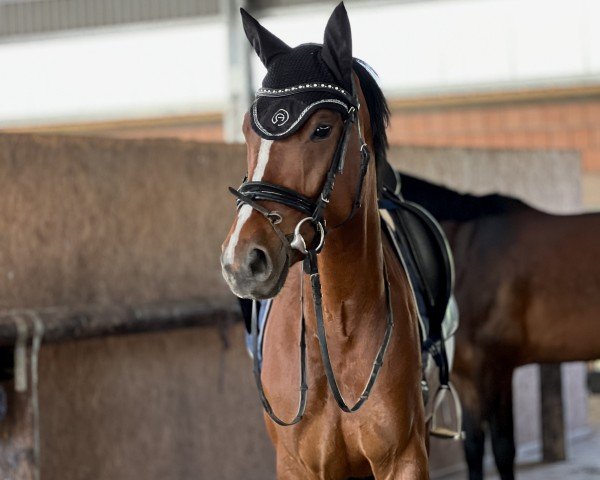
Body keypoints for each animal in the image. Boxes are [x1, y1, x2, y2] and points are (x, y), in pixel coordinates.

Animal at [223, 4, 428, 480]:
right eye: (247, 129)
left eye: (321, 129)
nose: (243, 261)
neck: (338, 324)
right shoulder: (297, 465)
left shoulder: (405, 457)